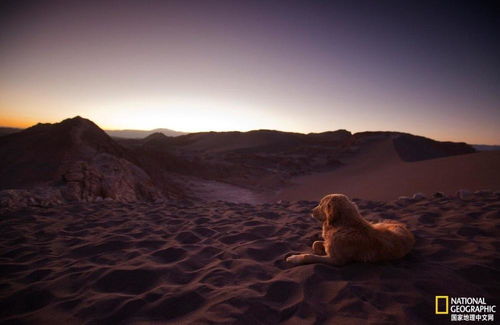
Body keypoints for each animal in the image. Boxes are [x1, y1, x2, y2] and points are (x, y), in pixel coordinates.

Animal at [286, 194, 414, 264]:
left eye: (321, 204)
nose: (311, 211)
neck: (343, 225)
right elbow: (315, 243)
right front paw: (320, 249)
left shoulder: (336, 260)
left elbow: (308, 256)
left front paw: (294, 258)